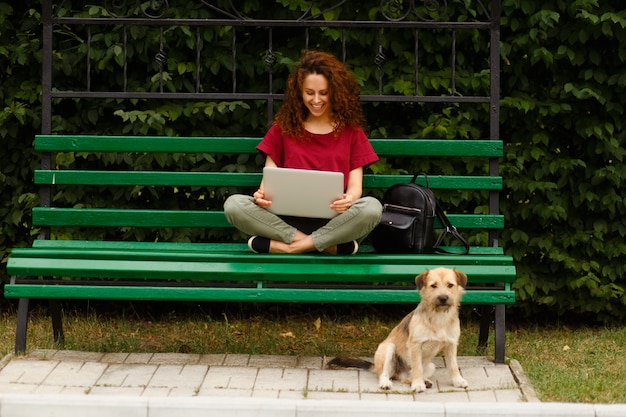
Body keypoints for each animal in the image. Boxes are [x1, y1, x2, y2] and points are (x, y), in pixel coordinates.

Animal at [326, 268, 468, 392]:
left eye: (450, 285)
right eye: (433, 285)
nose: (443, 298)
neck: (439, 316)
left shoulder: (451, 345)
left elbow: (453, 366)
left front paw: (458, 381)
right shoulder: (415, 345)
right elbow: (417, 368)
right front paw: (418, 385)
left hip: (430, 366)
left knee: (406, 378)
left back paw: (424, 382)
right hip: (389, 349)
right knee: (385, 375)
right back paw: (387, 383)